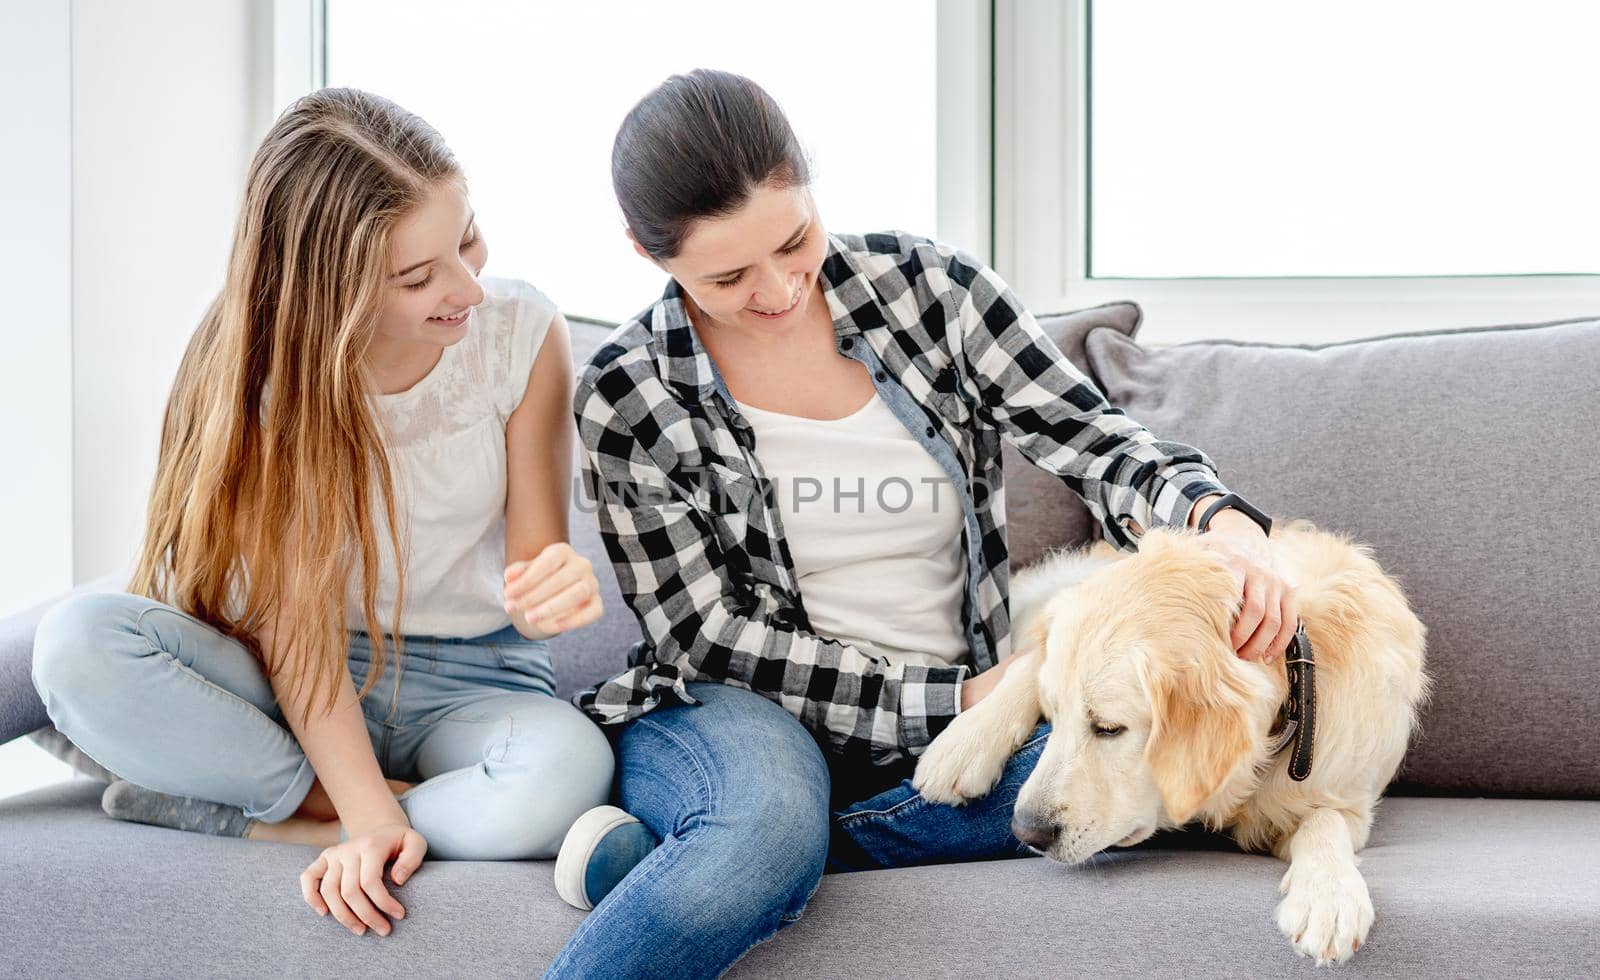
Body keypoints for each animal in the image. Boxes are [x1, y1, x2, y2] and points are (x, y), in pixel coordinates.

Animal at [921, 525, 1433, 960]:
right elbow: (1030, 665)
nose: (1027, 832)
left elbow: (1324, 821)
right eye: (1053, 717)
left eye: (1109, 728)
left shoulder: (1345, 796)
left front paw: (1328, 898)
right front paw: (964, 743)